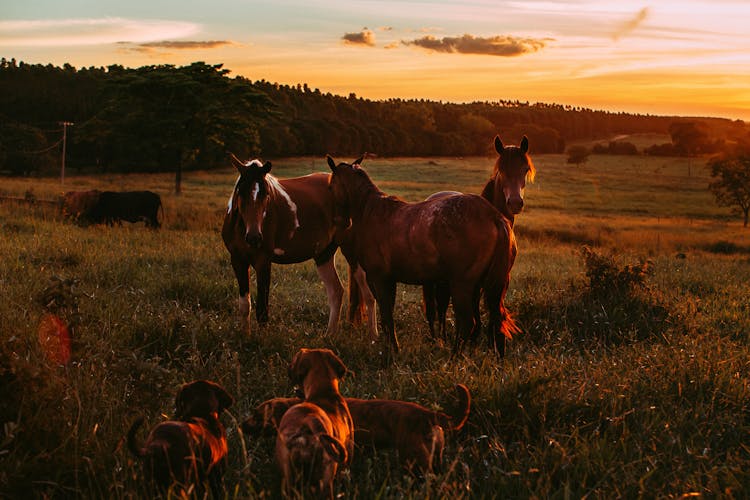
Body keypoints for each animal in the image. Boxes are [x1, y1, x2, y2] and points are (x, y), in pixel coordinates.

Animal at [222, 154, 376, 338]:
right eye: (241, 192)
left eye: (266, 194)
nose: (254, 237)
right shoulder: (238, 261)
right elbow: (245, 306)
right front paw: (245, 337)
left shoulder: (263, 262)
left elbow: (262, 310)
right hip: (323, 255)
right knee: (336, 292)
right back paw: (329, 335)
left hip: (353, 255)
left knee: (368, 295)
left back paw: (373, 336)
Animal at [328, 155, 524, 356]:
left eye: (330, 186)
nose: (339, 221)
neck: (371, 211)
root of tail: (494, 216)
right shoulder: (389, 280)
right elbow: (388, 315)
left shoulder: (379, 279)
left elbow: (387, 317)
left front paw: (392, 350)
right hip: (489, 286)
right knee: (496, 320)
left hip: (462, 284)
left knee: (468, 323)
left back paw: (454, 356)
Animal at [424, 135, 536, 350]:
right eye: (501, 169)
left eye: (525, 169)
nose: (515, 203)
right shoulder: (473, 285)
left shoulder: (499, 281)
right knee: (434, 310)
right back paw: (437, 339)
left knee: (442, 307)